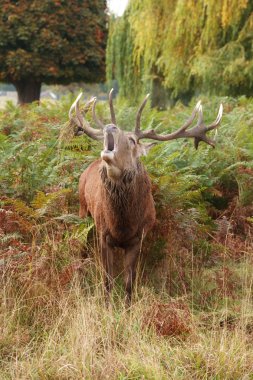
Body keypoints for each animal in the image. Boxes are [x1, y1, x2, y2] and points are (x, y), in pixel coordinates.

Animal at [69, 90, 223, 306]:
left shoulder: (138, 237)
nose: (110, 126)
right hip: (83, 211)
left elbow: (129, 283)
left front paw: (127, 308)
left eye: (132, 140)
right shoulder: (103, 235)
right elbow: (107, 280)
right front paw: (107, 307)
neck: (122, 224)